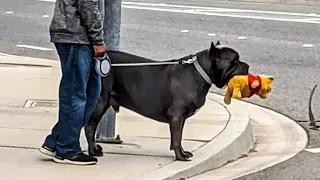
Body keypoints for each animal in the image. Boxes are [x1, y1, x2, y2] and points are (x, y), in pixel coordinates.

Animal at [84, 41, 249, 161]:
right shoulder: (176, 115)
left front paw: (182, 152)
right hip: (100, 102)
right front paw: (180, 156)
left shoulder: (181, 118)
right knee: (89, 127)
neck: (200, 72)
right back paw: (93, 151)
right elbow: (176, 138)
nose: (247, 65)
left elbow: (179, 137)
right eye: (234, 61)